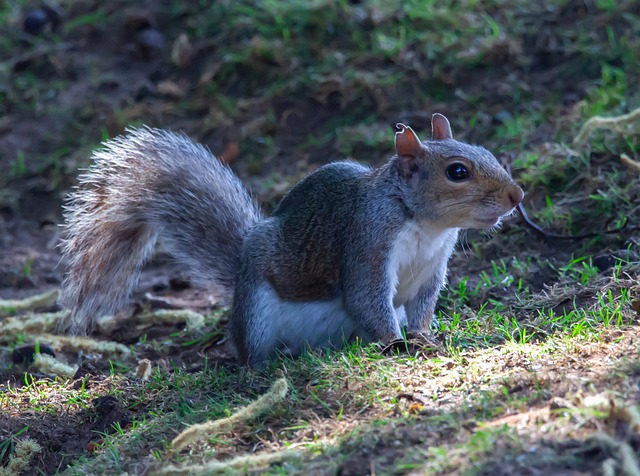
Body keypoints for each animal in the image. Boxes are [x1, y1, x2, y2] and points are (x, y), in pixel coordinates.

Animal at [57, 113, 524, 366]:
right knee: (248, 349)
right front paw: (397, 344)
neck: (424, 225)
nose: (517, 196)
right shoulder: (367, 243)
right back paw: (262, 364)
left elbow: (422, 305)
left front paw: (423, 336)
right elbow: (366, 299)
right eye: (457, 171)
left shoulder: (432, 267)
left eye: (485, 151)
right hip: (257, 311)